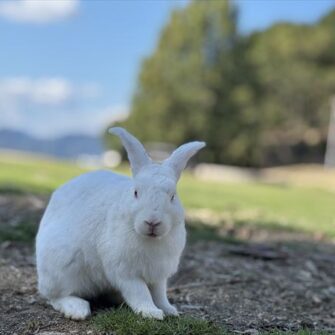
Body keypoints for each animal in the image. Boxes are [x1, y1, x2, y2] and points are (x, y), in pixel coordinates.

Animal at [35, 127, 206, 322]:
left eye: (172, 196)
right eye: (136, 192)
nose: (152, 222)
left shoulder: (158, 276)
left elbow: (159, 294)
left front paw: (169, 310)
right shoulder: (126, 272)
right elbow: (140, 293)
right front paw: (151, 313)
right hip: (62, 269)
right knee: (55, 297)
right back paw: (77, 309)